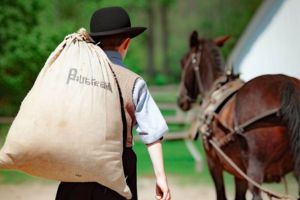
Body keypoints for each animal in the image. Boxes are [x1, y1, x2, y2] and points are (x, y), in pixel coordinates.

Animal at [177, 30, 300, 200]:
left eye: (183, 62)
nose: (181, 99)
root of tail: (286, 83)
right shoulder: (240, 174)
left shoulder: (214, 165)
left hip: (255, 170)